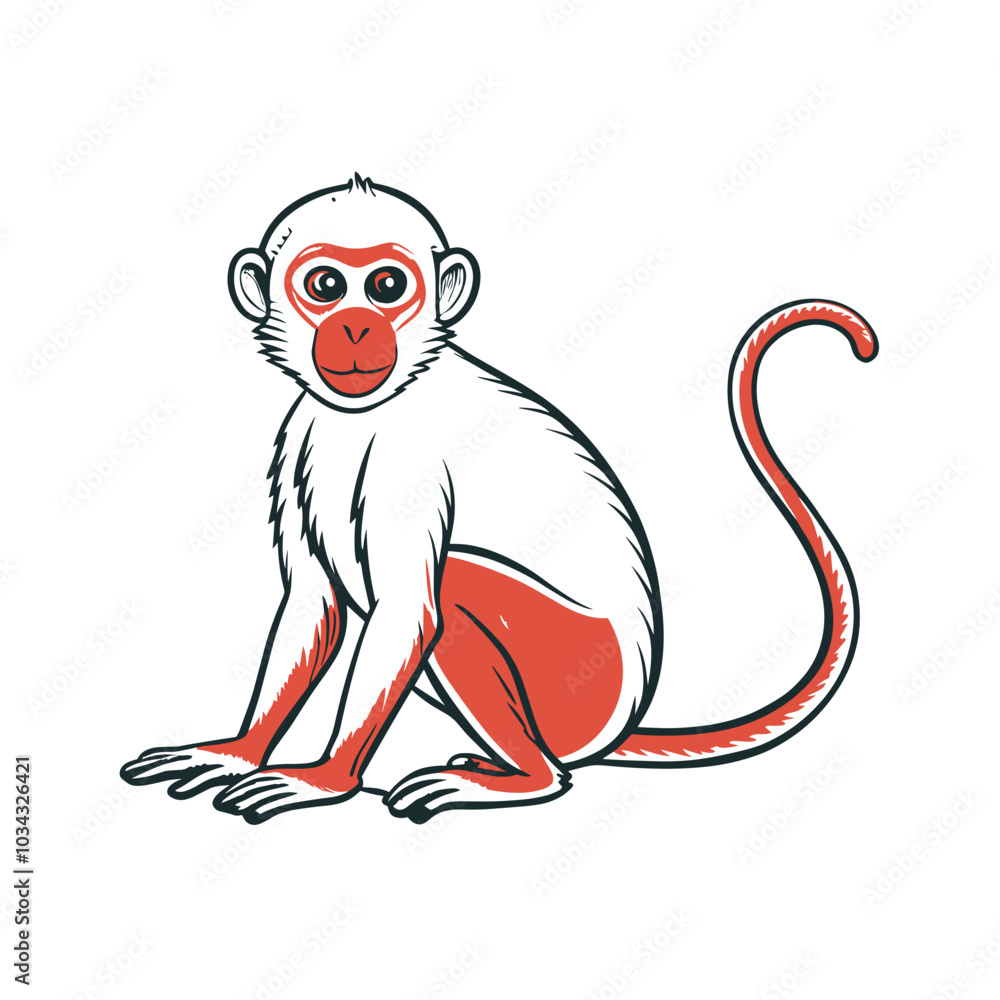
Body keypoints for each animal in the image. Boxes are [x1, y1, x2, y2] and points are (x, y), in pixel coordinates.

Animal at [121, 174, 877, 824]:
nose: (358, 328)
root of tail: (624, 718)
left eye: (387, 286)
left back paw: (526, 777)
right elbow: (316, 600)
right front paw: (239, 752)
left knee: (457, 582)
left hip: (577, 680)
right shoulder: (300, 435)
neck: (376, 406)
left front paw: (324, 779)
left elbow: (410, 609)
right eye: (327, 286)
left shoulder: (412, 462)